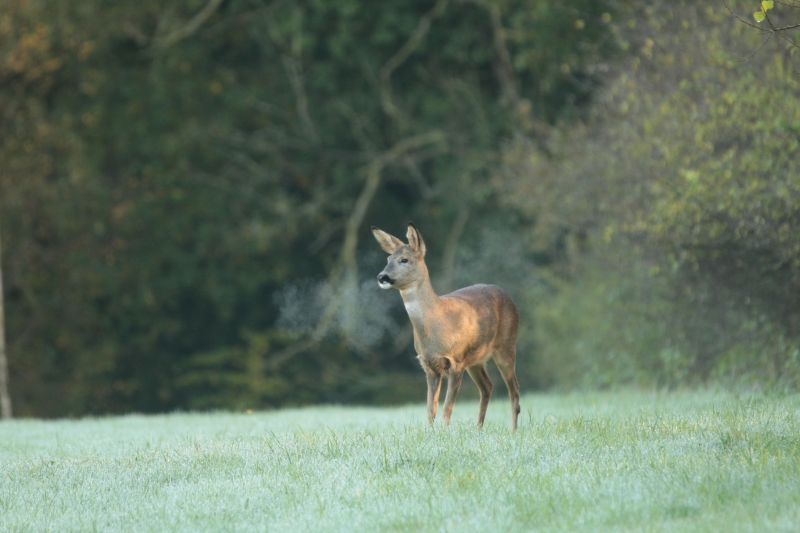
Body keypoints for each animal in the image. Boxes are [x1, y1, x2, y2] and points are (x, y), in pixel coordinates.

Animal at [372, 222, 520, 430]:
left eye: (404, 260)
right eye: (388, 258)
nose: (382, 277)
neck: (436, 322)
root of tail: (510, 298)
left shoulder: (456, 361)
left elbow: (446, 408)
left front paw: (445, 431)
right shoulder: (428, 365)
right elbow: (430, 409)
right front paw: (430, 432)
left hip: (506, 345)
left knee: (514, 389)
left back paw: (512, 431)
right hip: (476, 359)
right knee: (487, 386)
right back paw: (479, 428)